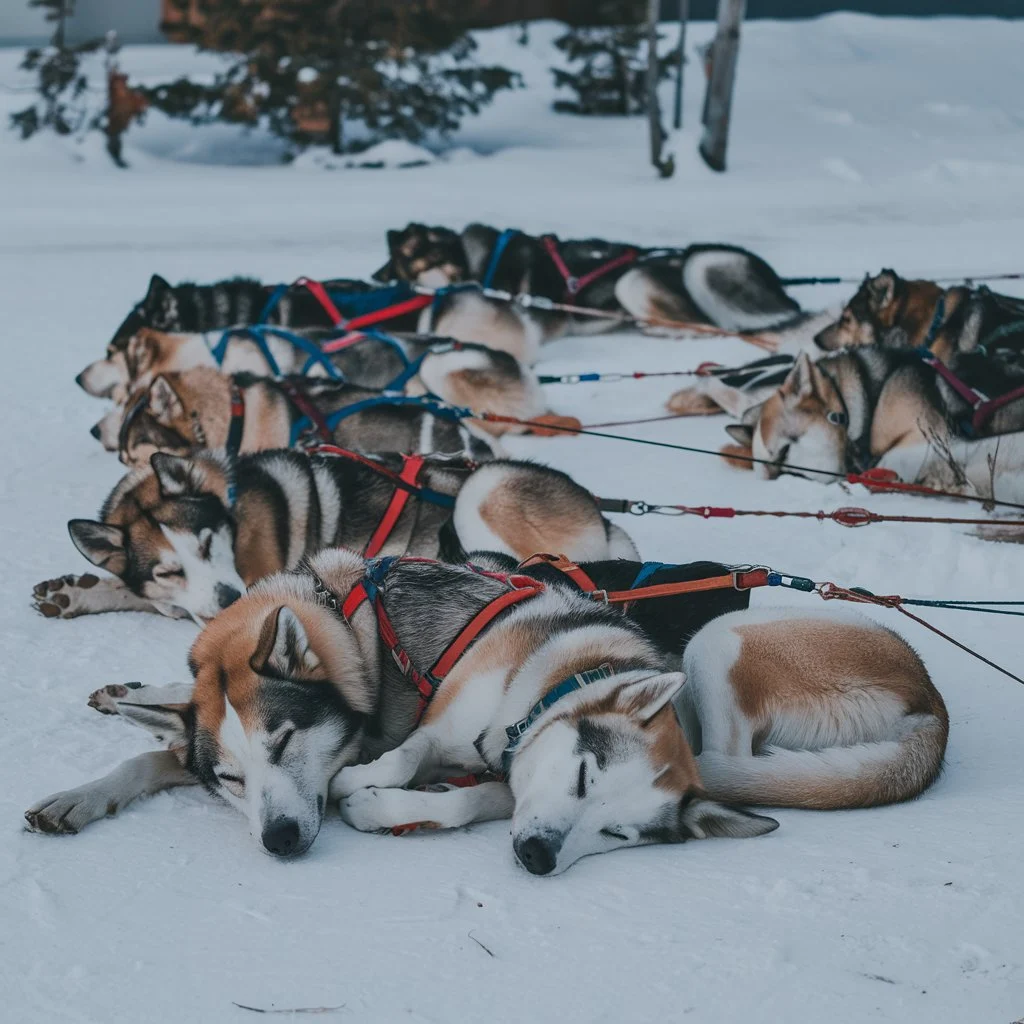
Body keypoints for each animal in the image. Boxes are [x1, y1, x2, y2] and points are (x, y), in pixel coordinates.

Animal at [28, 548, 946, 876]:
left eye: (287, 739)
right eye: (228, 777)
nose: (281, 839)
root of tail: (931, 703)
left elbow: (427, 783)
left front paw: (388, 799)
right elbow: (155, 748)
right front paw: (85, 786)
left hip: (718, 643)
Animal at [36, 450, 634, 622]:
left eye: (207, 543)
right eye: (168, 568)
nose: (230, 598)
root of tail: (603, 517)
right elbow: (133, 590)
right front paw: (75, 592)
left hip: (480, 489)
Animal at [372, 223, 802, 364]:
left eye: (397, 269)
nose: (374, 279)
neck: (472, 262)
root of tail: (684, 255)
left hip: (632, 282)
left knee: (702, 326)